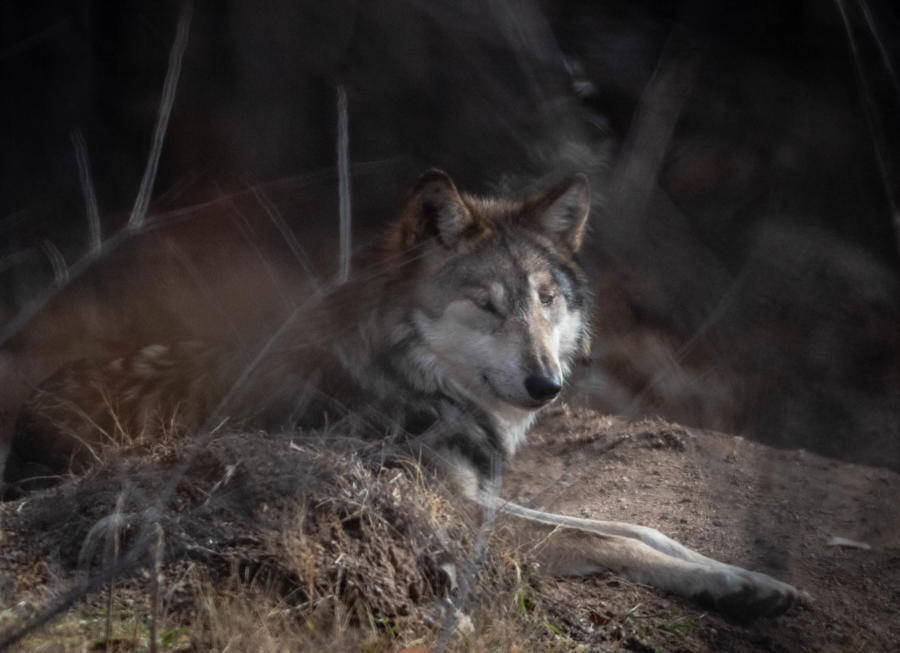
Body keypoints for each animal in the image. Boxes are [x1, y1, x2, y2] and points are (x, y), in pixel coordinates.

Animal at [1, 168, 800, 616]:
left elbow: (637, 527)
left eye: (546, 300)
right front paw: (735, 590)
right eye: (488, 305)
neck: (415, 385)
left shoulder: (482, 496)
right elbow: (599, 535)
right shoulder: (451, 515)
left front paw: (752, 577)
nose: (547, 384)